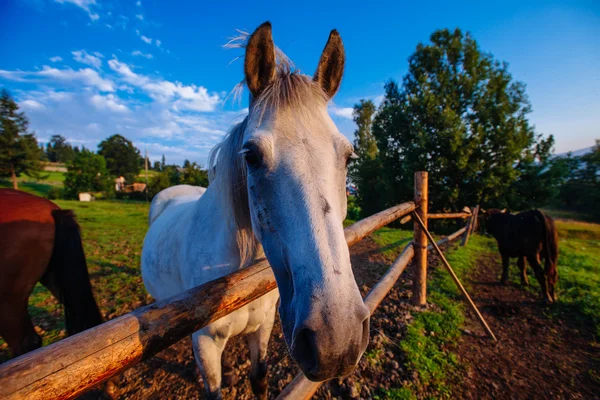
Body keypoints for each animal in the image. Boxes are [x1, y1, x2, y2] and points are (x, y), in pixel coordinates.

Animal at [143, 22, 368, 400]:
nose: (336, 339)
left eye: (349, 157)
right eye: (251, 156)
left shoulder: (262, 328)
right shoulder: (205, 342)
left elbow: (259, 377)